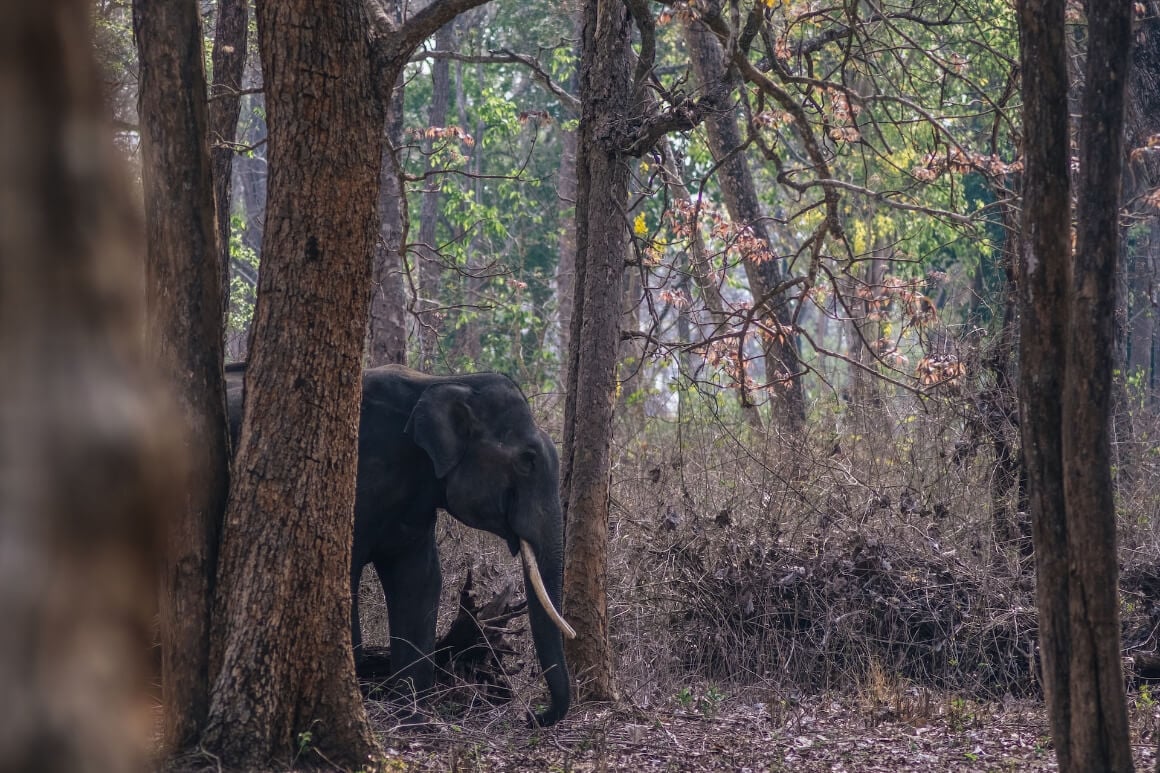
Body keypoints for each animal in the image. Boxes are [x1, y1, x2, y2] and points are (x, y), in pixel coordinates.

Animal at [223, 359, 573, 724]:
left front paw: (411, 712)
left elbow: (419, 579)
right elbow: (347, 572)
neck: (445, 382)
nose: (531, 716)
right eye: (527, 460)